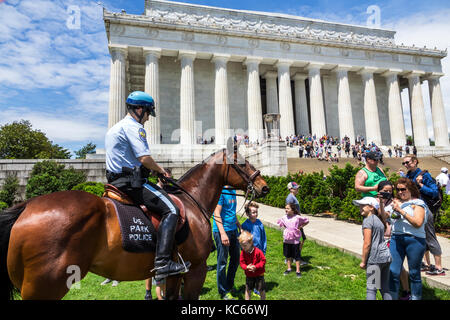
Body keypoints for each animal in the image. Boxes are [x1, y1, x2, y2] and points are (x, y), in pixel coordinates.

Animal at [0, 148, 268, 300]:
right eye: (243, 163)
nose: (264, 186)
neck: (192, 201)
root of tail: (26, 206)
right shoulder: (195, 270)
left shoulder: (175, 274)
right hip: (45, 286)